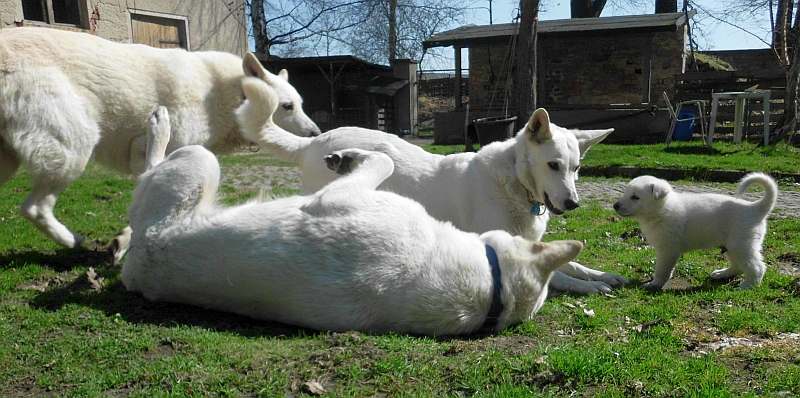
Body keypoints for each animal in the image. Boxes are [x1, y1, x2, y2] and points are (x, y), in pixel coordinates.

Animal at [0, 27, 318, 249]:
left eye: (300, 104)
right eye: (287, 106)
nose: (316, 133)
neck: (225, 94)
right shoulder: (147, 152)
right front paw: (125, 240)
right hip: (74, 147)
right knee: (35, 208)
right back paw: (72, 240)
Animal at [120, 85, 580, 334]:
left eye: (576, 168)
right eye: (556, 166)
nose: (572, 202)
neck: (489, 285)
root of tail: (137, 263)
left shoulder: (336, 200)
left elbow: (381, 163)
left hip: (198, 164)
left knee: (147, 171)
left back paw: (157, 129)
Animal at [238, 80, 624, 296]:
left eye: (576, 168)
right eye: (552, 165)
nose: (573, 203)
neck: (514, 181)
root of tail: (311, 144)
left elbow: (573, 264)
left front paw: (602, 274)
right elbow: (559, 275)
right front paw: (589, 286)